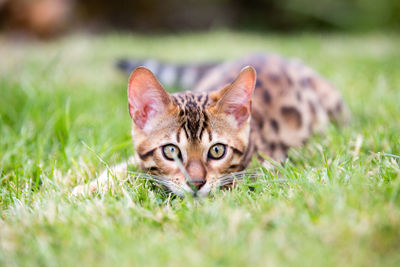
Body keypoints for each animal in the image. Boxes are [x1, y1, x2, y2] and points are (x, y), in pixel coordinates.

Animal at [73, 53, 348, 198]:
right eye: (171, 151)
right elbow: (121, 168)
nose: (196, 184)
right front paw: (85, 187)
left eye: (217, 150)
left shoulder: (267, 165)